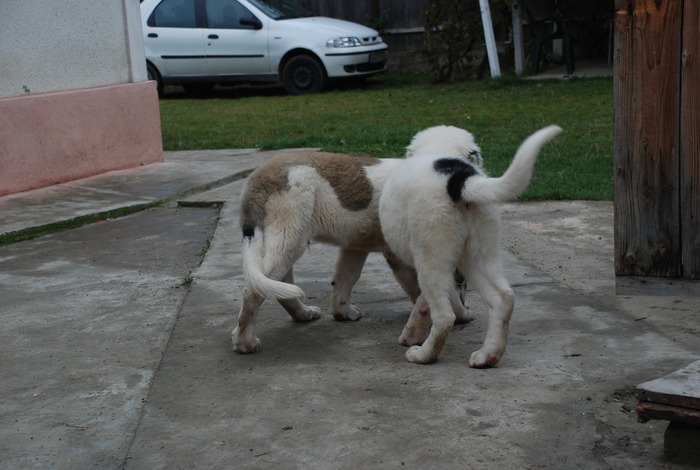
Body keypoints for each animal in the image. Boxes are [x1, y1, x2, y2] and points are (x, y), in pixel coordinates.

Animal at [232, 152, 424, 354]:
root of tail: (258, 177)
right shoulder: (397, 253)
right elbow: (416, 286)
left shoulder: (355, 245)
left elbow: (346, 277)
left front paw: (342, 313)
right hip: (289, 232)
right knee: (254, 289)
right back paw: (245, 343)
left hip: (288, 239)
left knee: (278, 282)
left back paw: (303, 313)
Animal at [378, 125, 564, 368]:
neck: (440, 148)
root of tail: (461, 181)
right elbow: (432, 298)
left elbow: (423, 297)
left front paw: (411, 335)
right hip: (480, 249)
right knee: (502, 297)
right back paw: (487, 355)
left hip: (432, 251)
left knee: (444, 316)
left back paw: (424, 355)